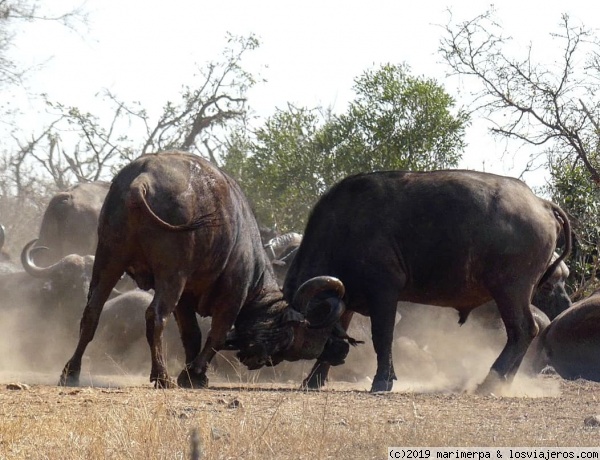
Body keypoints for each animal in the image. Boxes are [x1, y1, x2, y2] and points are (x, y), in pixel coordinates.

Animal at [58, 151, 350, 388]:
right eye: (288, 335)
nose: (257, 359)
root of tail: (140, 181)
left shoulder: (186, 299)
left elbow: (192, 334)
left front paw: (191, 372)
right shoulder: (233, 294)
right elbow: (216, 335)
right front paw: (194, 374)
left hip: (108, 259)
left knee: (91, 312)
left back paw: (71, 371)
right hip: (171, 274)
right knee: (155, 315)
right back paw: (161, 376)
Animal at [282, 169, 572, 392]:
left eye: (301, 329)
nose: (341, 354)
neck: (345, 226)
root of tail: (541, 203)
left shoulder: (384, 292)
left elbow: (382, 336)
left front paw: (382, 380)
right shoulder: (349, 296)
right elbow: (343, 323)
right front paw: (314, 379)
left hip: (511, 289)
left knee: (523, 330)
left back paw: (491, 381)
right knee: (523, 333)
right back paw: (503, 382)